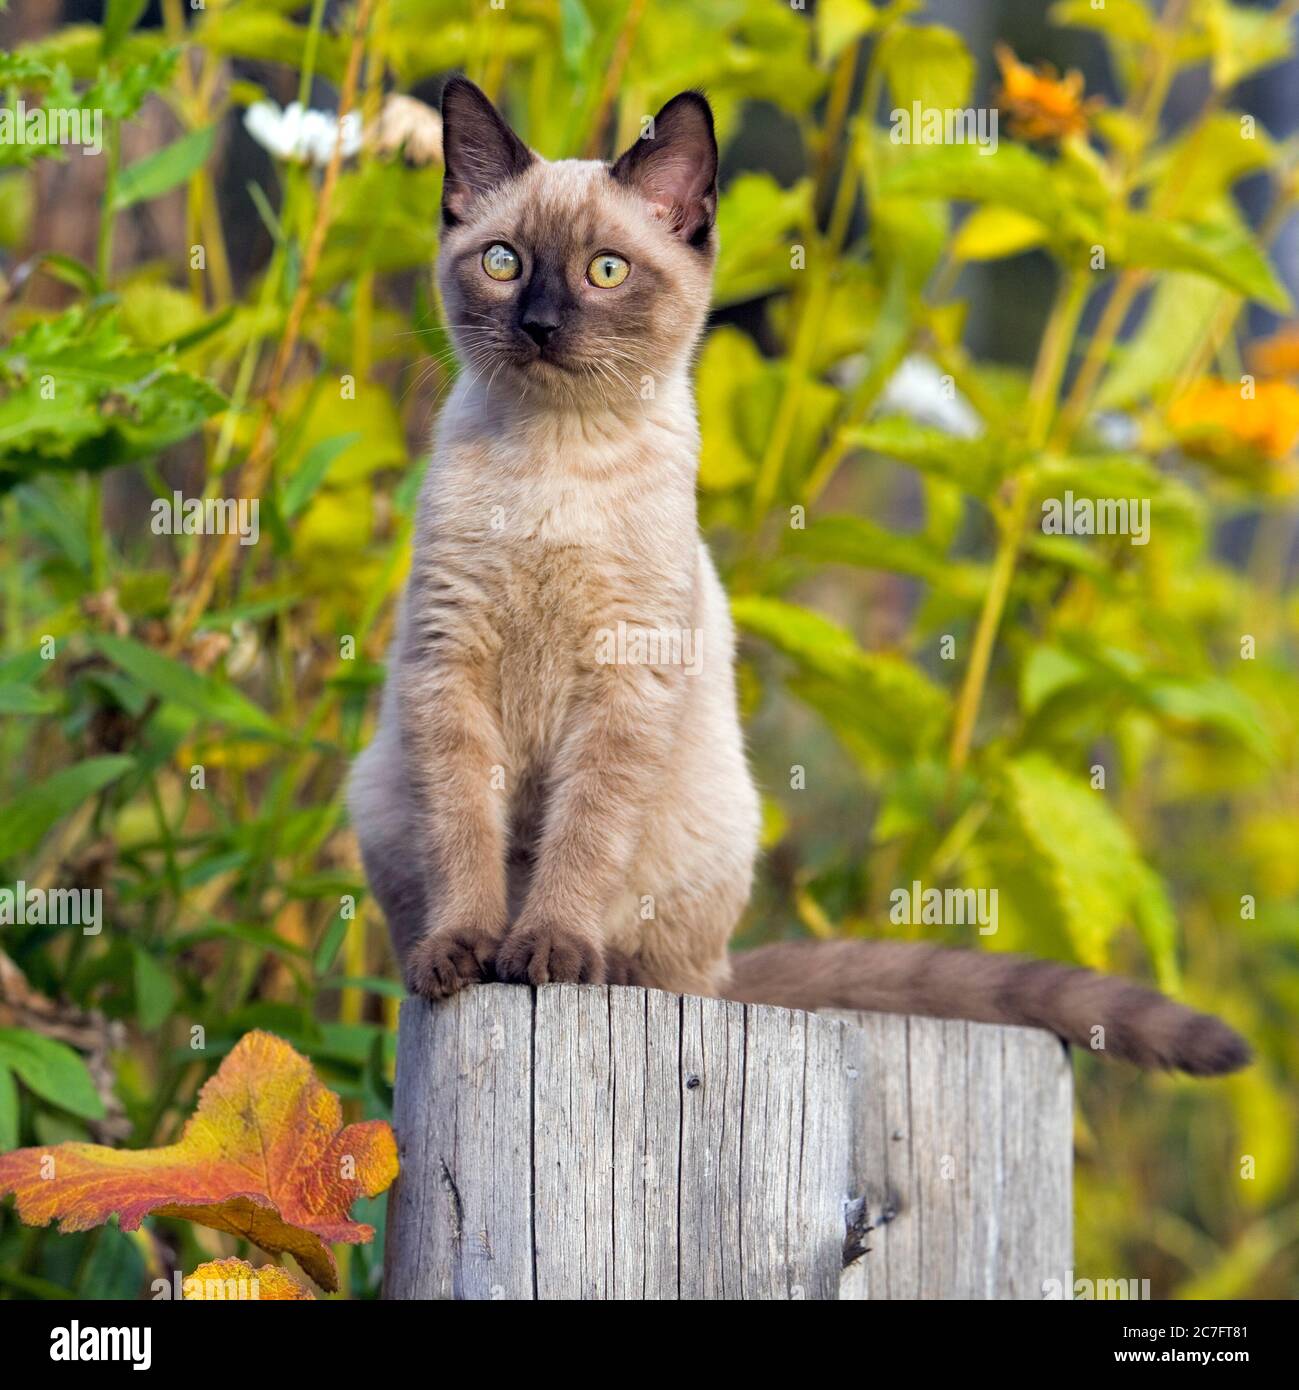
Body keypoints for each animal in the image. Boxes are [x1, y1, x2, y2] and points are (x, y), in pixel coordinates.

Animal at [347, 78, 1250, 1073]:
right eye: (503, 263)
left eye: (606, 272)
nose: (540, 325)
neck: (556, 463)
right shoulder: (449, 667)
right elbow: (464, 834)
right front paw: (466, 955)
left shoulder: (625, 684)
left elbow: (581, 838)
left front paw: (544, 952)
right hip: (380, 788)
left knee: (675, 974)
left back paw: (599, 967)